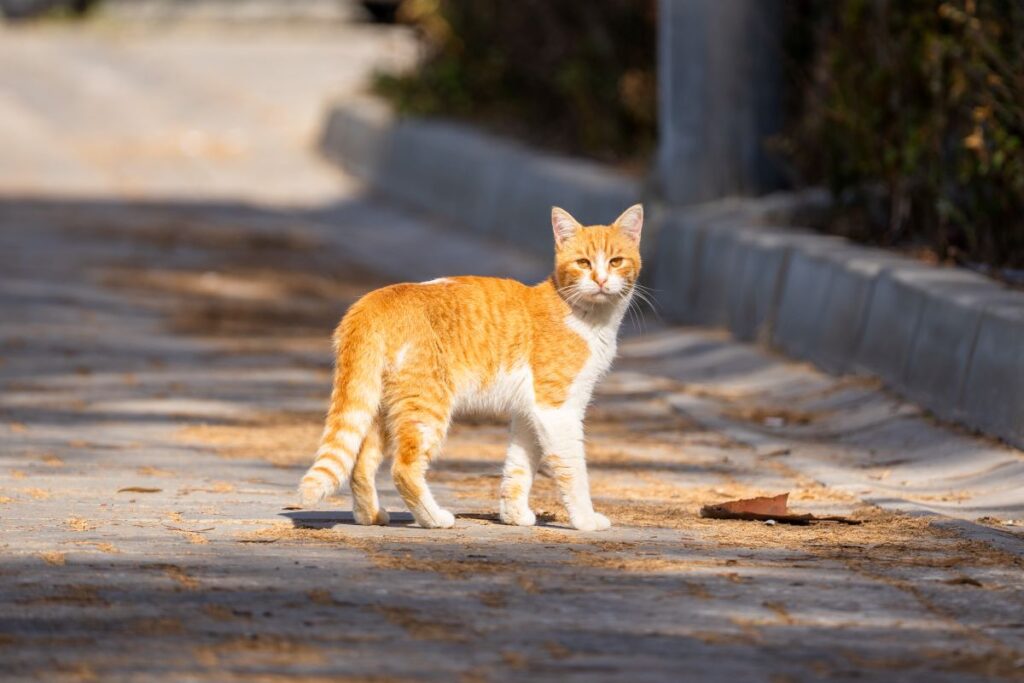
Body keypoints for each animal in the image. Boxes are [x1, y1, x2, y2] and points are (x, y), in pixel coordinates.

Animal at [299, 204, 643, 532]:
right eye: (583, 263)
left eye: (616, 261)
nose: (600, 280)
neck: (583, 315)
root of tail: (373, 301)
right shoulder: (557, 409)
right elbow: (573, 470)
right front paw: (585, 520)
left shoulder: (530, 412)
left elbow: (519, 465)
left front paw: (514, 515)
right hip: (427, 407)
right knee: (403, 469)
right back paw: (434, 519)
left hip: (383, 406)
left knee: (361, 463)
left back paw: (370, 516)